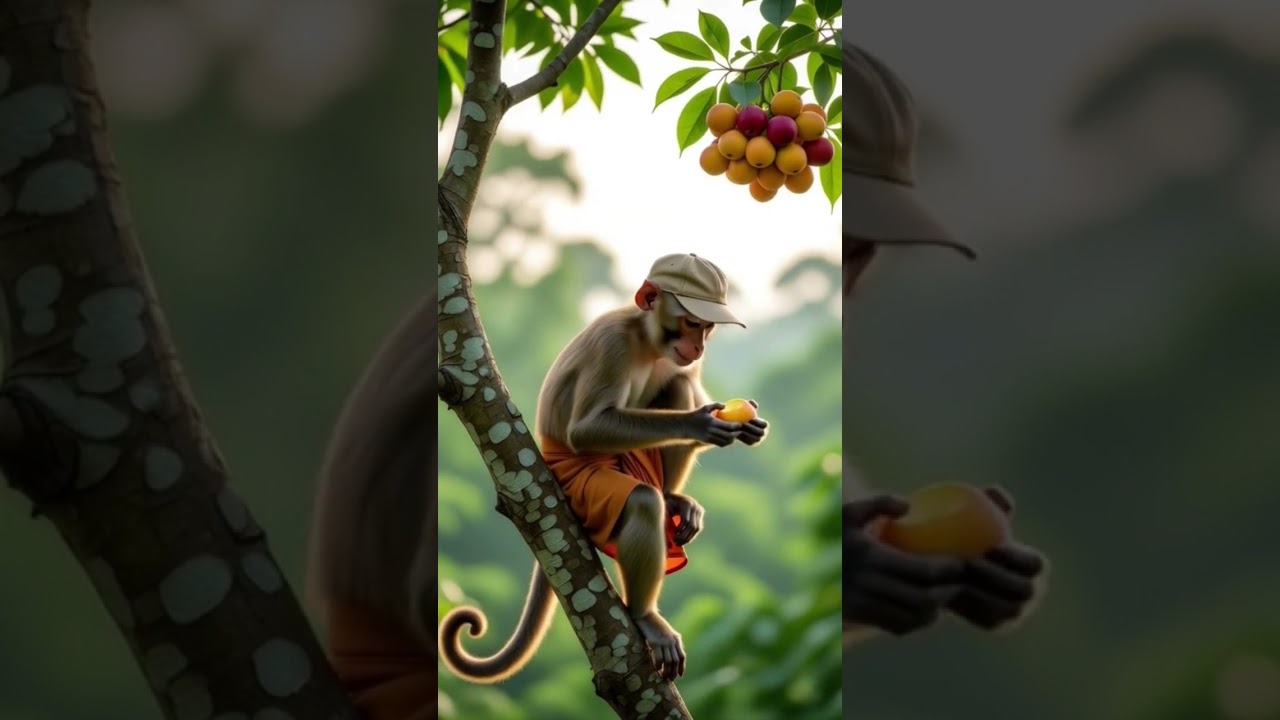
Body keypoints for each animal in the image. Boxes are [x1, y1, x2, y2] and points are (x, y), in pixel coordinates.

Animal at [439, 253, 770, 683]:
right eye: (691, 323)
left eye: (707, 327)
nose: (698, 346)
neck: (647, 340)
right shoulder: (611, 344)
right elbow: (585, 429)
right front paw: (698, 422)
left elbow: (687, 385)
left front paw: (747, 426)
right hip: (585, 487)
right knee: (642, 500)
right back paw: (645, 613)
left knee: (678, 384)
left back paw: (672, 498)